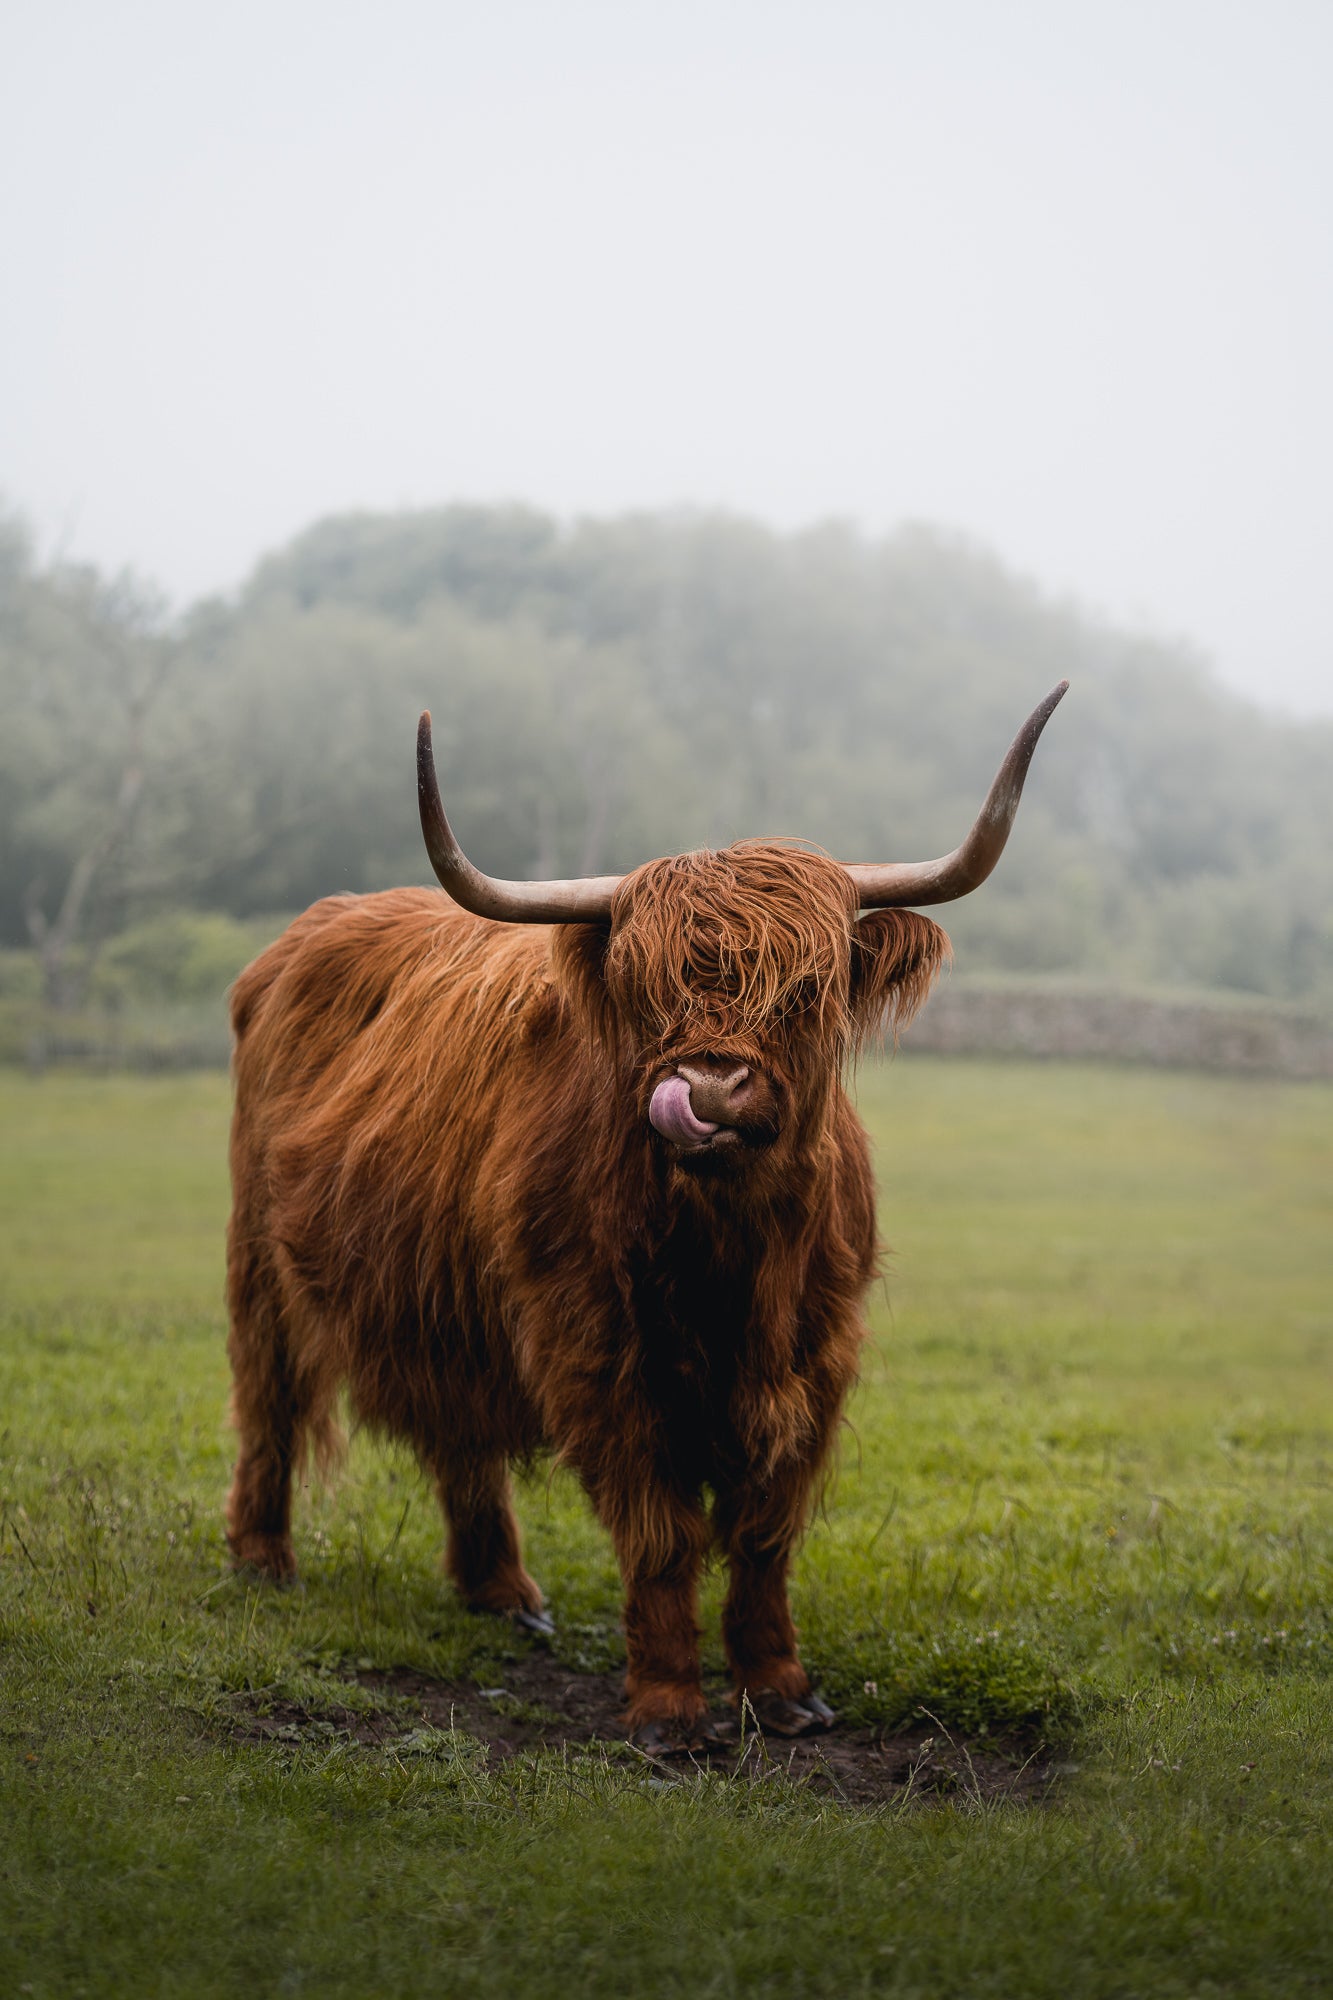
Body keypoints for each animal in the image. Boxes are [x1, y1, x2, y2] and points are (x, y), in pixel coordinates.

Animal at [223, 684, 1064, 1752]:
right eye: (644, 991)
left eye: (805, 989)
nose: (706, 1086)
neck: (732, 1254)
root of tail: (313, 929)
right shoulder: (599, 1352)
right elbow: (662, 1532)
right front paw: (669, 1709)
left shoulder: (816, 1360)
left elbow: (763, 1533)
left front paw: (780, 1688)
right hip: (259, 1258)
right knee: (270, 1399)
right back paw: (262, 1558)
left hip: (444, 1291)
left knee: (460, 1436)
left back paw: (502, 1593)